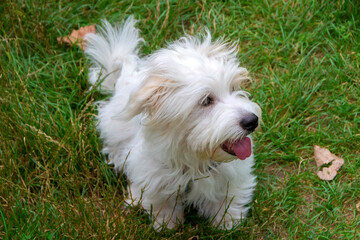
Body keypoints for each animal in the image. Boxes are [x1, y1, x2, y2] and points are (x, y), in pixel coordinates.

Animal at [86, 16, 262, 231]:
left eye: (234, 88)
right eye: (206, 101)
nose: (252, 121)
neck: (196, 160)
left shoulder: (232, 176)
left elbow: (228, 197)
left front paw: (228, 221)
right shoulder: (155, 177)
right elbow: (162, 202)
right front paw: (167, 223)